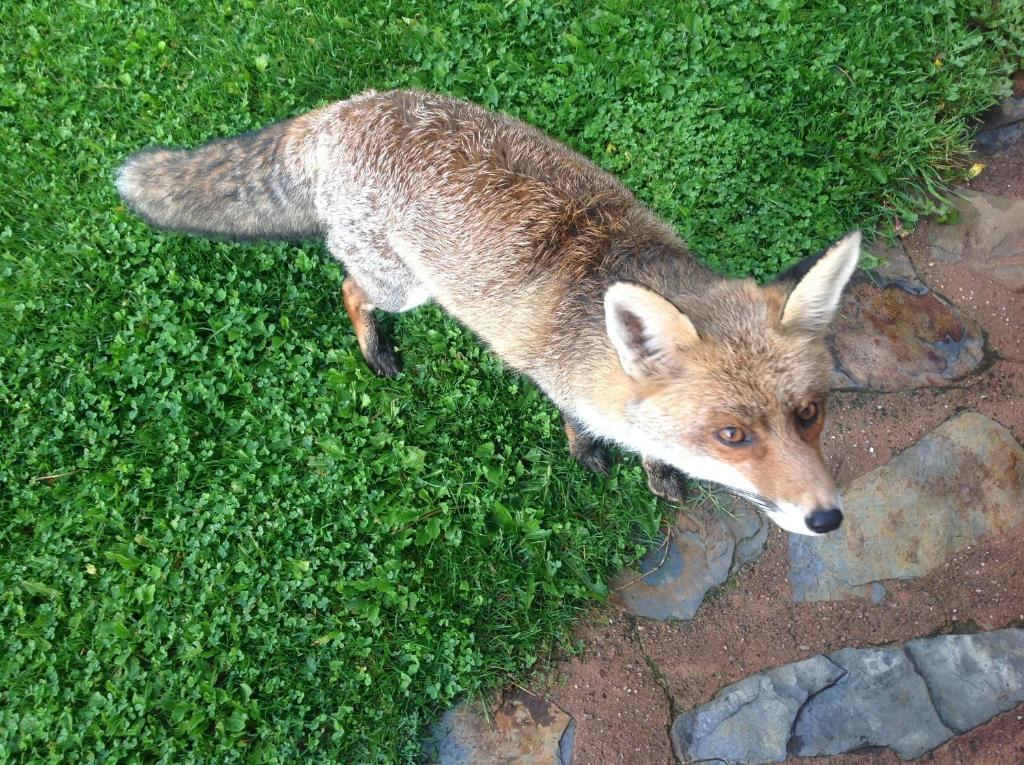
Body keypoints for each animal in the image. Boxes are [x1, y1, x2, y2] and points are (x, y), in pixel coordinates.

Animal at [116, 89, 860, 536]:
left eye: (809, 414)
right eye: (732, 435)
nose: (827, 519)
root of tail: (337, 114)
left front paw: (659, 469)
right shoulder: (562, 384)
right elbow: (579, 427)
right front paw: (591, 456)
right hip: (403, 286)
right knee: (351, 290)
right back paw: (374, 349)